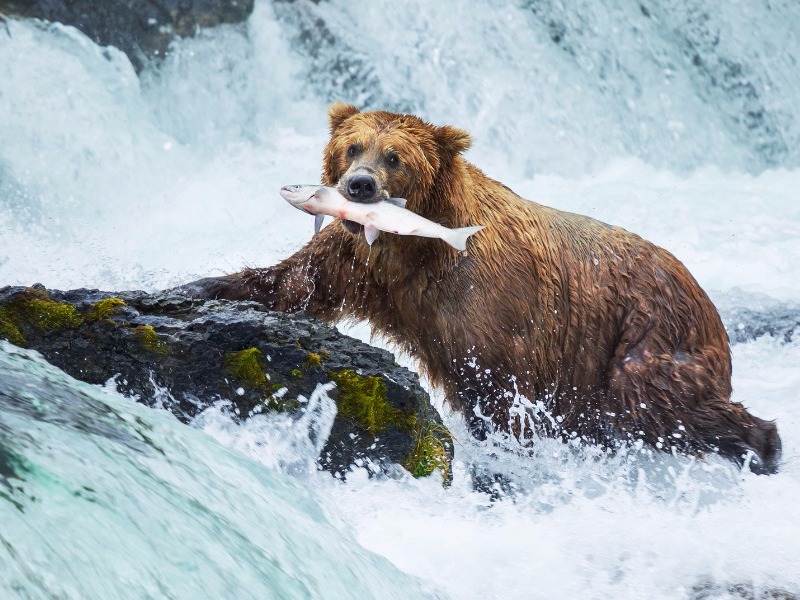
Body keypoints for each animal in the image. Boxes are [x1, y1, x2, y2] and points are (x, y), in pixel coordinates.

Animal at [183, 105, 780, 476]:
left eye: (394, 156)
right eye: (352, 147)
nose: (359, 186)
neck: (416, 247)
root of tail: (704, 296)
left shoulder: (489, 302)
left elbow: (496, 387)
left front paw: (504, 456)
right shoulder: (361, 264)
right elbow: (295, 281)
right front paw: (200, 285)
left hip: (645, 332)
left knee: (654, 401)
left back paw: (763, 444)